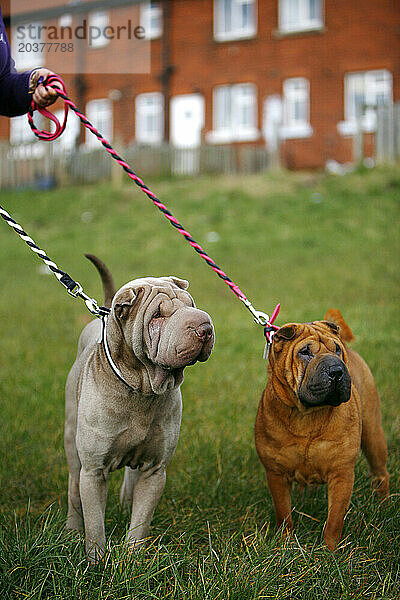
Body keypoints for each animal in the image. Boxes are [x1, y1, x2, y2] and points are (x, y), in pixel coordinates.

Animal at [64, 254, 214, 564]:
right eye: (157, 316)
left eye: (191, 305)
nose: (204, 328)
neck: (142, 390)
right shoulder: (93, 471)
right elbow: (95, 522)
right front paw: (96, 561)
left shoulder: (155, 470)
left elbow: (142, 519)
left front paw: (133, 555)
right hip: (72, 443)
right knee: (73, 489)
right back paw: (72, 530)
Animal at [255, 312, 390, 552]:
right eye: (305, 352)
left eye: (336, 350)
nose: (336, 370)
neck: (307, 415)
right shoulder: (276, 473)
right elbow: (283, 513)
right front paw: (284, 542)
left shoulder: (341, 473)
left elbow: (334, 518)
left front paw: (331, 550)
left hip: (373, 435)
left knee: (381, 473)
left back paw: (383, 503)